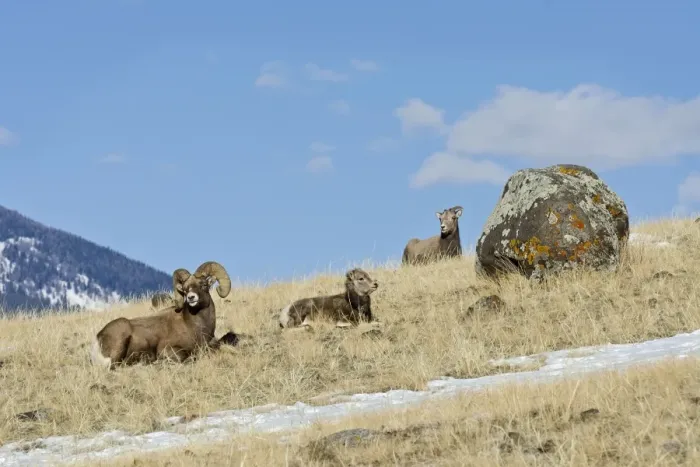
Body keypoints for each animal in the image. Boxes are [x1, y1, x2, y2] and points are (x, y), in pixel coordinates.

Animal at [90, 261, 231, 369]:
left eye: (203, 284)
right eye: (185, 289)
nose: (191, 297)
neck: (195, 326)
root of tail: (97, 339)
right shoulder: (168, 349)